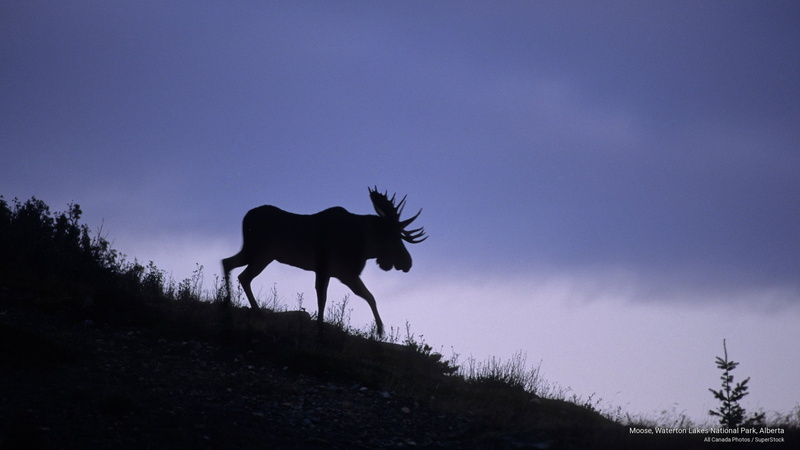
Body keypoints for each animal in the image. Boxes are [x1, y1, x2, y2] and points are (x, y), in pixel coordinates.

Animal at [221, 187, 426, 336]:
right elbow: (326, 298)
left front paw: (380, 329)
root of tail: (245, 218)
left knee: (230, 265)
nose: (407, 263)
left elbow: (368, 297)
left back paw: (232, 303)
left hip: (258, 253)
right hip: (259, 252)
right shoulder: (334, 270)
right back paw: (251, 309)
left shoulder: (340, 273)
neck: (362, 244)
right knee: (241, 274)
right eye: (394, 237)